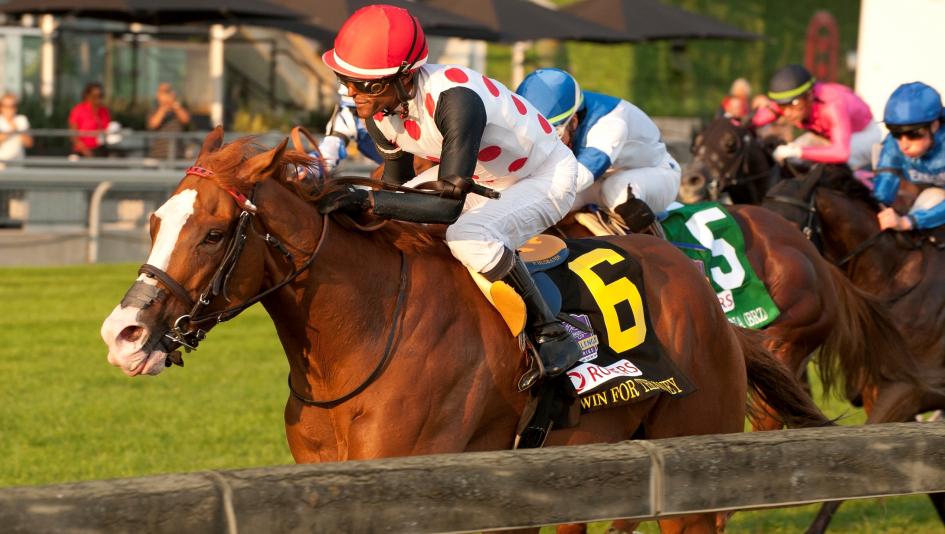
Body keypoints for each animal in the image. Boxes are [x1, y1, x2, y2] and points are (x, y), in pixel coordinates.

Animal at [101, 128, 830, 533]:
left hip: (691, 482)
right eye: (154, 221)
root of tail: (702, 289)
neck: (363, 334)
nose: (123, 333)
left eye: (214, 232)